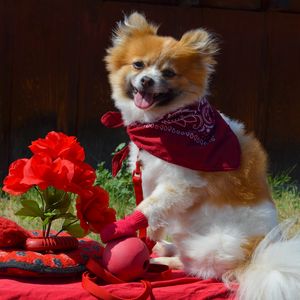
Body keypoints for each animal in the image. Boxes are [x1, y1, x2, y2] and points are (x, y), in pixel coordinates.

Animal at [101, 12, 300, 298]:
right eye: (138, 65)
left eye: (169, 73)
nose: (147, 80)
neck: (162, 125)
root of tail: (254, 260)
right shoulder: (149, 178)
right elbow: (155, 213)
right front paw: (149, 237)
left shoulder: (180, 184)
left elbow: (148, 206)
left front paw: (124, 226)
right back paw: (162, 248)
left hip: (208, 246)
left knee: (196, 267)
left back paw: (165, 259)